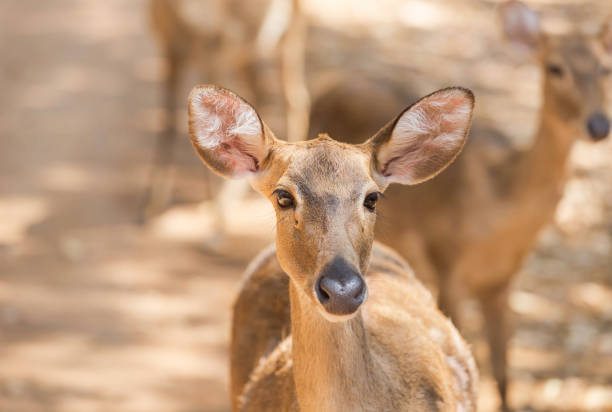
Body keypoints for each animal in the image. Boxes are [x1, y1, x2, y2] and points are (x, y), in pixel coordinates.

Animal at [141, 0, 308, 222]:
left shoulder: (217, 50)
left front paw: (215, 220)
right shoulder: (170, 45)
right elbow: (168, 125)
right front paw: (152, 207)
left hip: (283, 36)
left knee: (292, 99)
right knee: (278, 97)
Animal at [302, 1, 612, 410]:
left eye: (605, 67)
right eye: (554, 67)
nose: (598, 125)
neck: (501, 203)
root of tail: (330, 83)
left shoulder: (502, 281)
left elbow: (503, 374)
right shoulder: (446, 260)